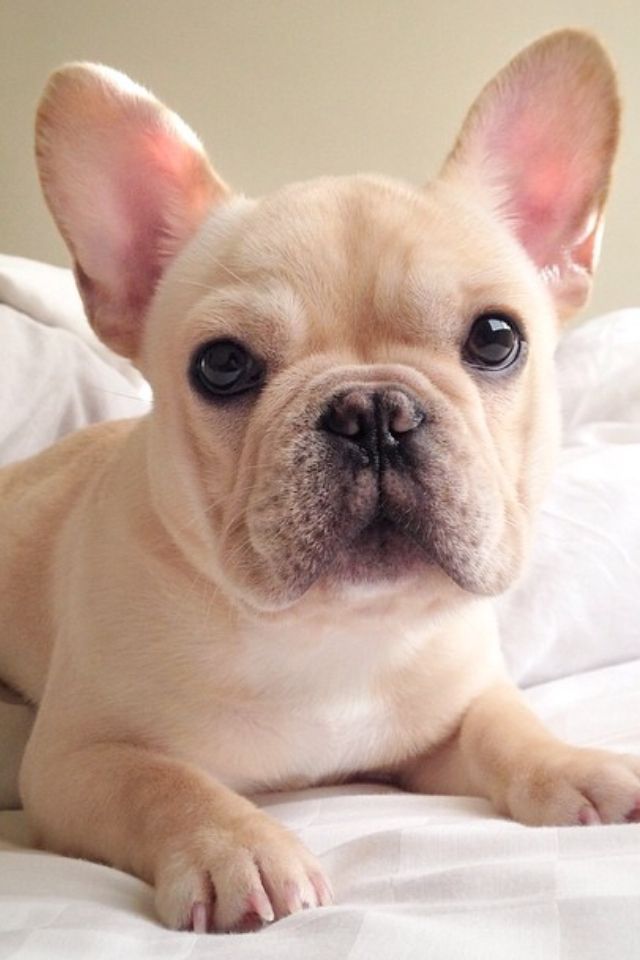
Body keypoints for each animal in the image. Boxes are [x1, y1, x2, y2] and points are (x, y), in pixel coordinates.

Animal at [1, 28, 640, 928]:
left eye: (495, 338)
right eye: (222, 365)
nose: (372, 410)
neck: (336, 631)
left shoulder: (449, 718)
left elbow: (505, 724)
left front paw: (574, 765)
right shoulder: (74, 760)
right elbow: (161, 781)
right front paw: (237, 849)